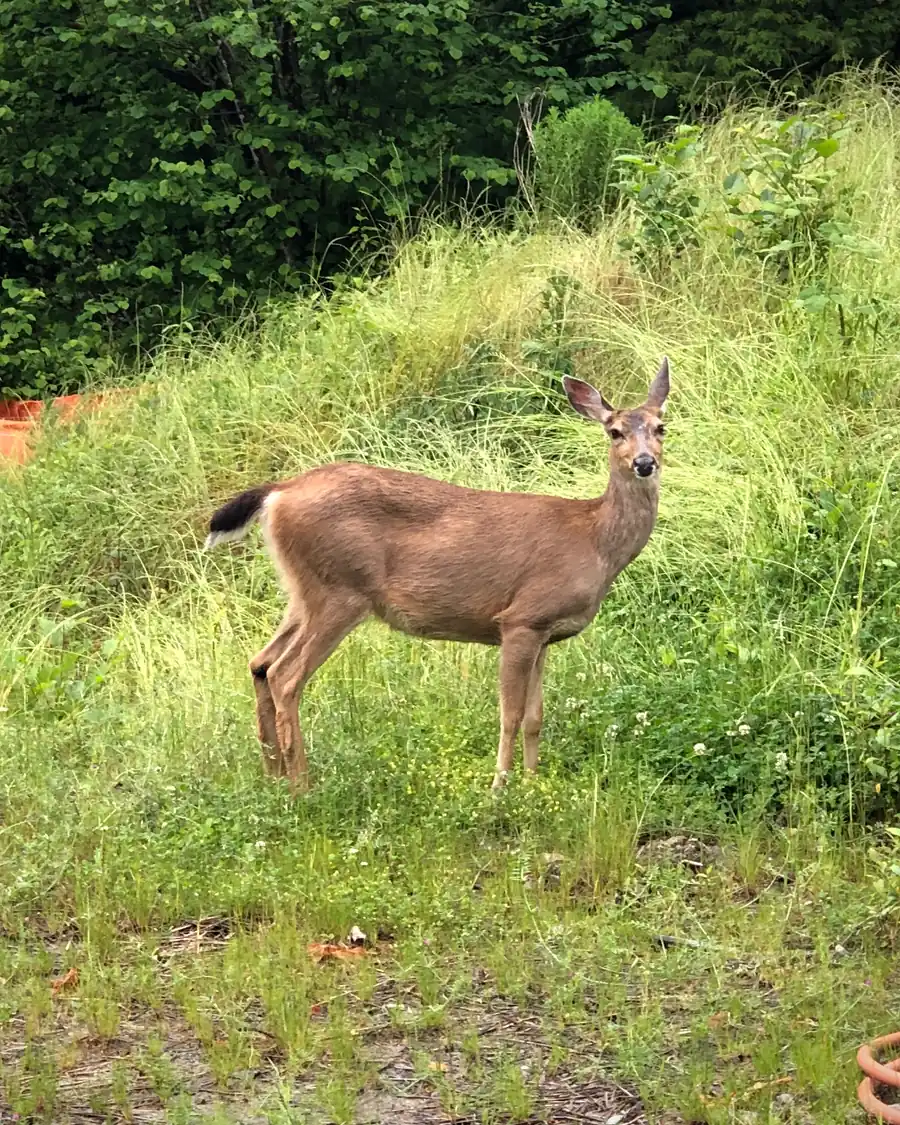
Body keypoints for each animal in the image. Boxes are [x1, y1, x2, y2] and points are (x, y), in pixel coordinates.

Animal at [204, 356, 670, 794]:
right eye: (615, 432)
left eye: (661, 427)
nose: (644, 462)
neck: (594, 539)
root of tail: (278, 493)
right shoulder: (520, 618)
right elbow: (510, 713)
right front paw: (499, 788)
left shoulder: (545, 632)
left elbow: (535, 716)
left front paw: (533, 783)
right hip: (338, 591)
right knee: (285, 676)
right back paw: (302, 786)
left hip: (303, 593)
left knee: (260, 663)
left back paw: (273, 778)